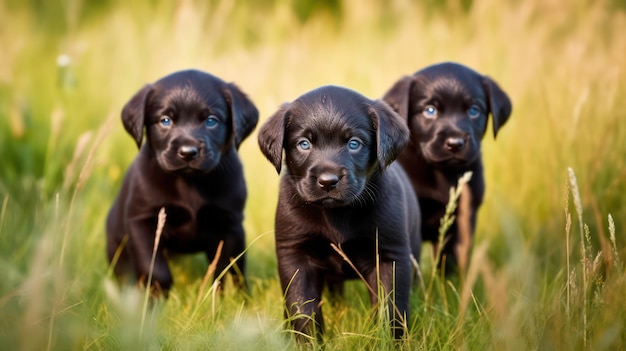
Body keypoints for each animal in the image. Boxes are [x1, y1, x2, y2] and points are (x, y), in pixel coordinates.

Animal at [106, 70, 258, 296]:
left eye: (211, 121)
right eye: (165, 120)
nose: (188, 152)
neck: (189, 183)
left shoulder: (230, 224)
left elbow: (228, 269)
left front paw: (230, 298)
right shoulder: (142, 222)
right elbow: (155, 268)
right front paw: (156, 298)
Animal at [256, 84, 422, 340]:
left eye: (354, 143)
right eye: (304, 144)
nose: (327, 181)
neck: (336, 213)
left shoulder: (389, 255)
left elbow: (391, 307)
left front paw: (390, 341)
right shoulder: (294, 254)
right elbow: (302, 308)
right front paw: (308, 342)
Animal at [382, 62, 510, 274]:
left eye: (473, 110)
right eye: (430, 110)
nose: (455, 143)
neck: (442, 174)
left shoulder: (463, 219)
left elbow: (451, 262)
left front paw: (450, 281)